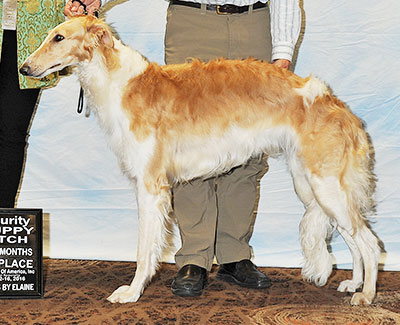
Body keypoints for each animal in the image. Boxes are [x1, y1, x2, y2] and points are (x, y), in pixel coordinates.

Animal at [21, 15, 382, 304]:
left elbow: (143, 250)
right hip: (313, 187)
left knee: (369, 242)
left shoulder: (151, 186)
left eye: (58, 37)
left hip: (324, 186)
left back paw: (366, 296)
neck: (122, 83)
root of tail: (334, 103)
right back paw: (353, 284)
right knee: (353, 239)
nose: (24, 68)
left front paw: (132, 293)